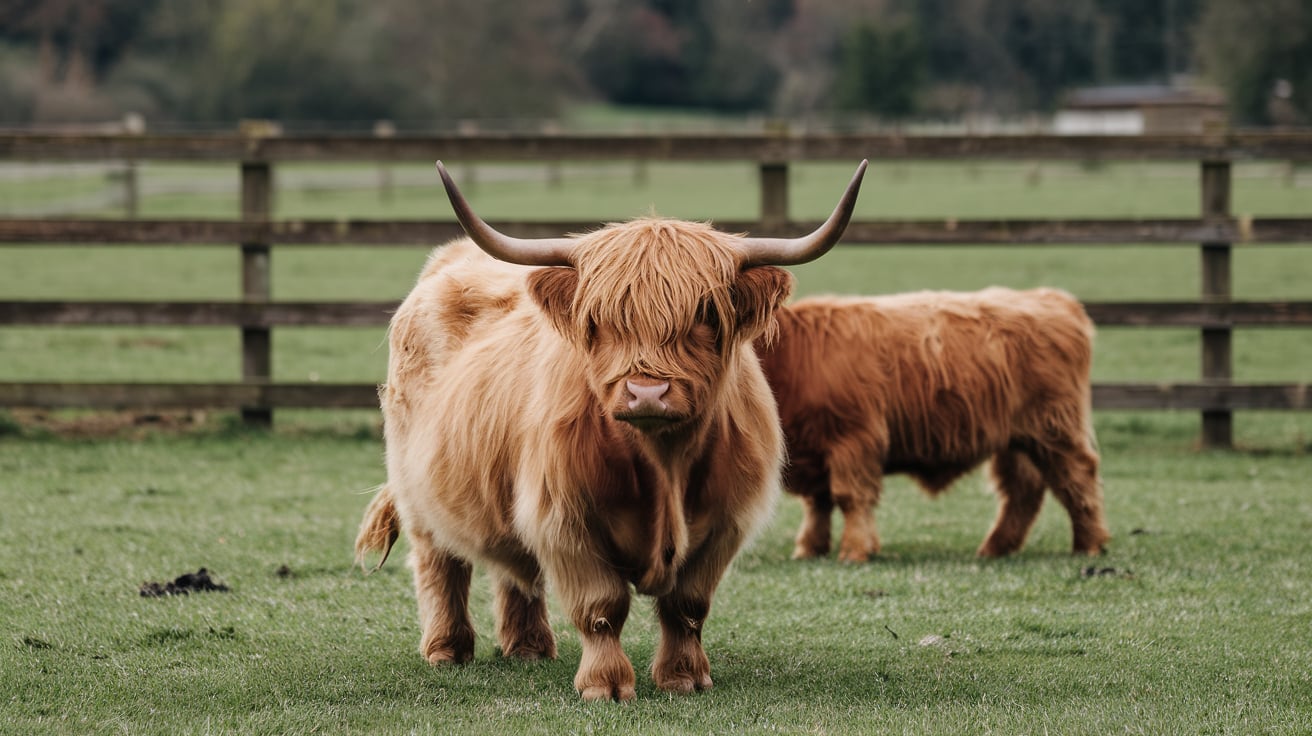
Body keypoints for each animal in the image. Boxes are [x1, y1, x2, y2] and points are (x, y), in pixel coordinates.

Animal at [356, 160, 868, 701]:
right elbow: (601, 607)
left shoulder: (724, 521)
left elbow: (687, 606)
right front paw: (605, 685)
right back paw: (447, 650)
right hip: (417, 492)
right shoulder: (565, 518)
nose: (647, 392)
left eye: (705, 313)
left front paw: (684, 677)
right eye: (599, 319)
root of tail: (449, 261)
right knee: (440, 563)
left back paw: (528, 647)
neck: (663, 462)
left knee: (513, 566)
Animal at [754, 287, 1110, 563]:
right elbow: (818, 503)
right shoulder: (815, 448)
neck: (792, 357)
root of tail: (1054, 299)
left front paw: (854, 552)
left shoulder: (852, 439)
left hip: (1053, 427)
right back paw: (995, 548)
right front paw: (809, 550)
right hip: (1017, 438)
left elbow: (849, 496)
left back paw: (1089, 545)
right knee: (1023, 489)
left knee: (1077, 476)